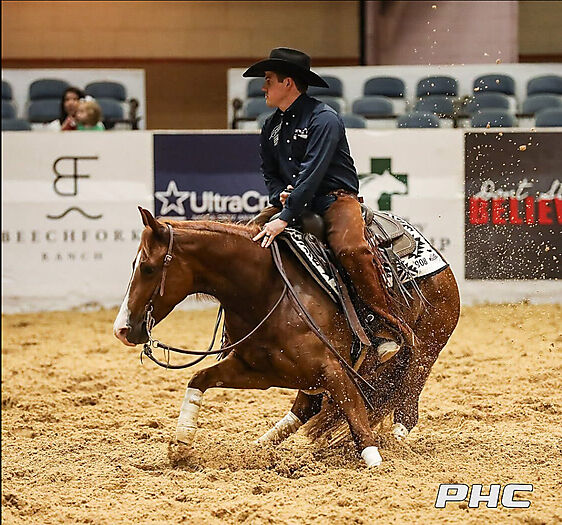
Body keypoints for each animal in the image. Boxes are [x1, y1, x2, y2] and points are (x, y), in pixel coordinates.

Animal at [113, 207, 460, 467]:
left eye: (147, 267)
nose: (122, 329)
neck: (266, 290)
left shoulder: (334, 369)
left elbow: (356, 416)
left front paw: (376, 461)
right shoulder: (259, 370)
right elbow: (198, 379)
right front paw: (181, 444)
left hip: (424, 351)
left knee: (407, 406)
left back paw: (395, 440)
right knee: (305, 408)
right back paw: (260, 445)